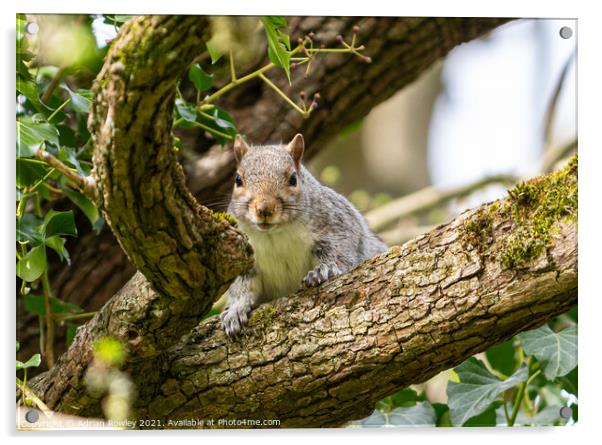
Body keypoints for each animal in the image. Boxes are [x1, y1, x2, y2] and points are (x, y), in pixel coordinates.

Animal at [219, 134, 384, 338]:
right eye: (238, 179)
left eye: (293, 179)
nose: (264, 209)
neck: (274, 235)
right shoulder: (242, 256)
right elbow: (242, 287)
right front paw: (235, 310)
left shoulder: (338, 225)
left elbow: (341, 252)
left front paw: (325, 270)